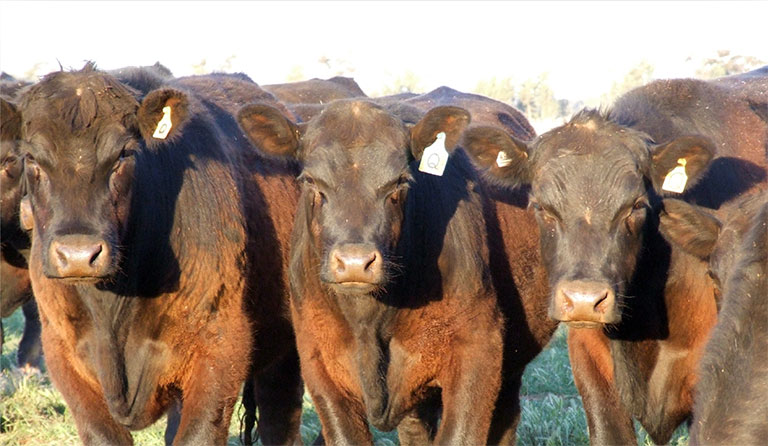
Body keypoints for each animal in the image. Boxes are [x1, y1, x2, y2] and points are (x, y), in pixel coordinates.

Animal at [236, 94, 557, 445]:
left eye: (399, 183)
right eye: (311, 182)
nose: (355, 262)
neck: (370, 320)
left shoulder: (479, 351)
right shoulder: (319, 363)